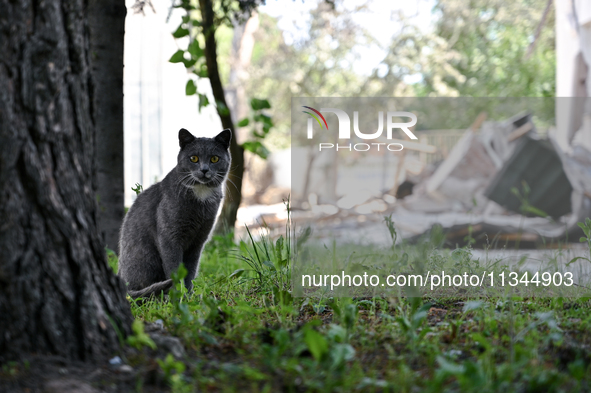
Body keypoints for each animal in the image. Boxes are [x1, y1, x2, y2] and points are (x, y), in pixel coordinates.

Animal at [118, 129, 231, 298]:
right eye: (193, 158)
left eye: (214, 158)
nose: (204, 170)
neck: (201, 194)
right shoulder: (169, 237)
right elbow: (175, 268)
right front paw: (179, 295)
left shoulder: (199, 240)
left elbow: (190, 270)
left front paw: (189, 295)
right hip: (145, 257)